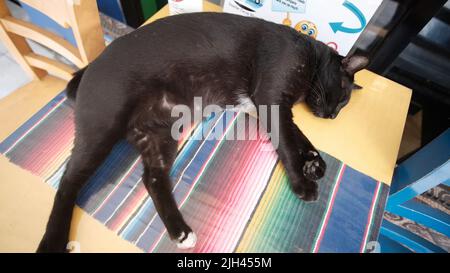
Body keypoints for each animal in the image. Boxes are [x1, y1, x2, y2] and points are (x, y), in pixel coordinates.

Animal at [37, 12, 370, 251]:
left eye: (343, 104)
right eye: (343, 95)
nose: (332, 115)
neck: (309, 53)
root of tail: (88, 67)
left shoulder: (261, 107)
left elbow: (296, 131)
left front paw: (314, 159)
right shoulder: (270, 101)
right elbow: (287, 141)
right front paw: (303, 182)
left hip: (161, 133)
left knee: (152, 178)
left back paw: (181, 232)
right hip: (103, 127)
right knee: (67, 182)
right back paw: (52, 240)